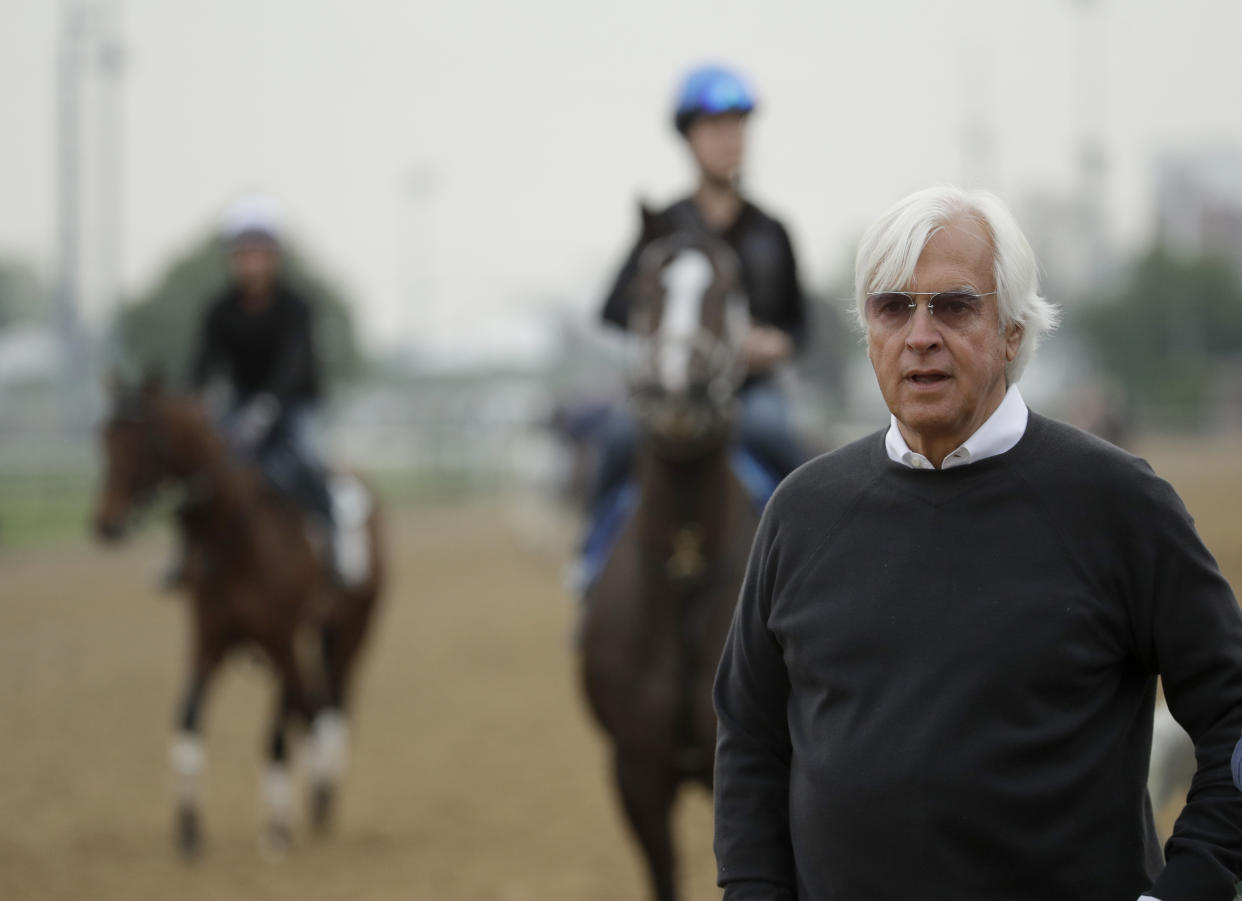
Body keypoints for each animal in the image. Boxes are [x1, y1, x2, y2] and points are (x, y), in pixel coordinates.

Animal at [92, 372, 385, 859]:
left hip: (352, 630)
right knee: (314, 705)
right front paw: (188, 827)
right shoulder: (208, 641)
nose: (104, 524)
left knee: (331, 703)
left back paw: (321, 795)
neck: (236, 536)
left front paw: (277, 829)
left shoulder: (282, 641)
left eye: (146, 443)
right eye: (104, 438)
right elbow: (188, 717)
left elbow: (277, 731)